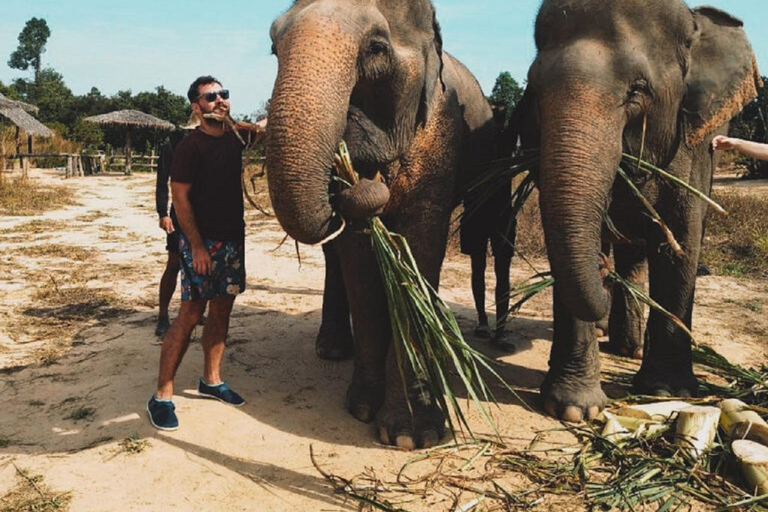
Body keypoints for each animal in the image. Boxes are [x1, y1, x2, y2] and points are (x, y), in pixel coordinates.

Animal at [264, 0, 496, 448]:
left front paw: (411, 434)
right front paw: (362, 408)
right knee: (334, 257)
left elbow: (420, 249)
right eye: (273, 48)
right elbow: (359, 262)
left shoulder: (441, 134)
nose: (356, 172)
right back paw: (332, 350)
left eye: (375, 49)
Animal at [516, 0, 760, 422]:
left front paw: (667, 390)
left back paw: (630, 347)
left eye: (639, 89)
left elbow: (680, 243)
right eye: (534, 88)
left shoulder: (692, 147)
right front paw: (574, 409)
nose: (601, 272)